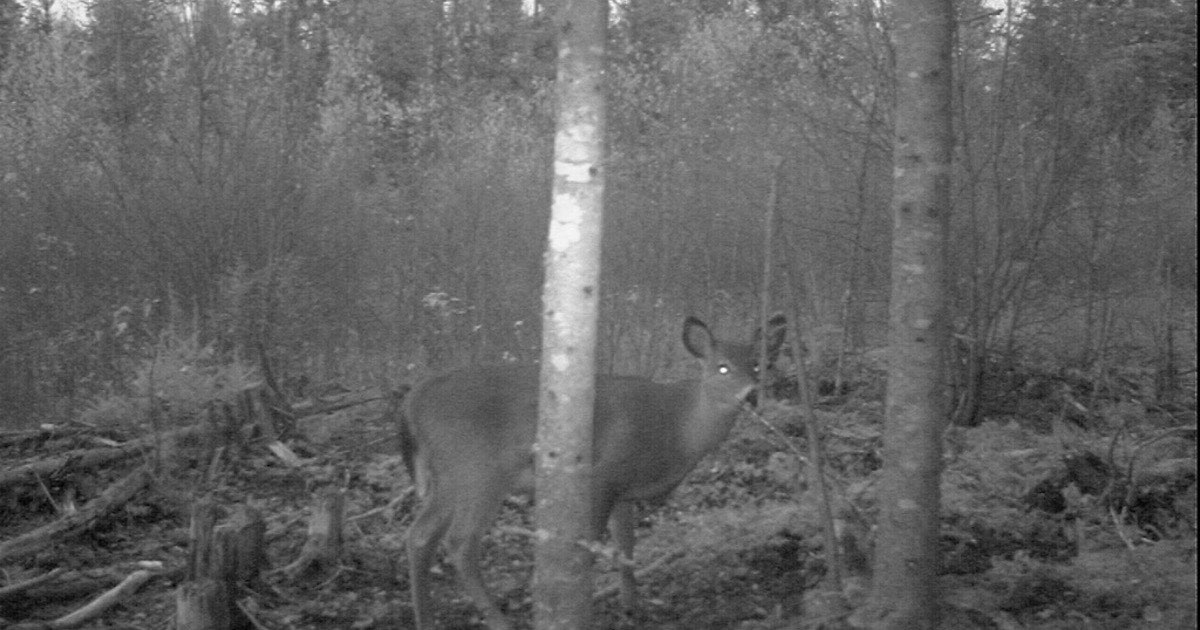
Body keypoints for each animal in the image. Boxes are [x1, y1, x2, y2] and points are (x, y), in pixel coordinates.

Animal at [397, 315, 786, 629]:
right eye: (722, 367)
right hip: (480, 469)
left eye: (758, 365)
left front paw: (633, 608)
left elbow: (626, 546)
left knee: (420, 535)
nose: (751, 395)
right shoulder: (603, 473)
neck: (677, 427)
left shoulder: (626, 489)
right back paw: (500, 621)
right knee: (459, 542)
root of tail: (414, 398)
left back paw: (425, 619)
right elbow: (589, 548)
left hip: (450, 475)